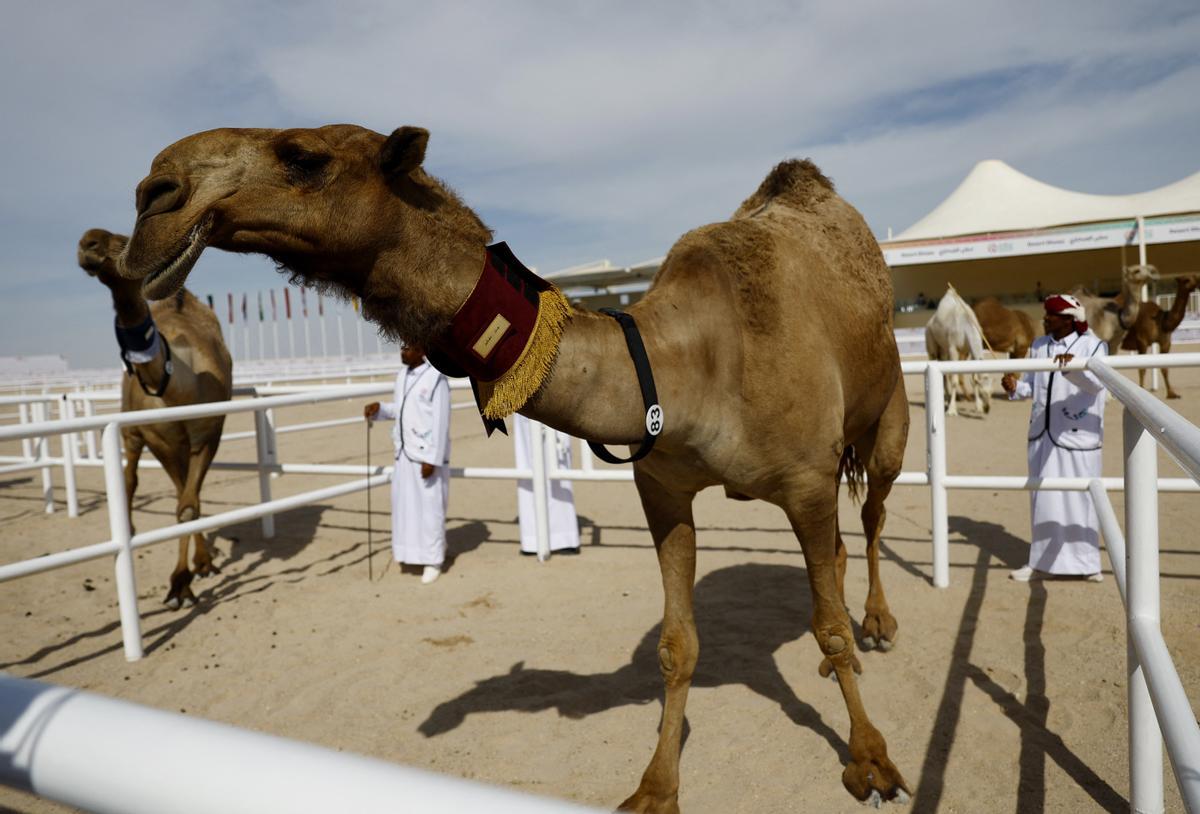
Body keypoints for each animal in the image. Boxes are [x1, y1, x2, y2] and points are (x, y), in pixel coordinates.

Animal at [78, 226, 234, 609]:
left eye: (123, 239)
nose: (88, 242)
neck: (176, 383)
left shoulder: (208, 434)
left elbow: (187, 506)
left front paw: (184, 580)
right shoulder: (158, 438)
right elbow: (180, 501)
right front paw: (181, 582)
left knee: (186, 493)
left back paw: (202, 560)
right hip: (136, 434)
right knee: (132, 477)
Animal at [119, 124, 907, 811]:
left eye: (303, 156)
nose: (155, 191)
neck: (686, 367)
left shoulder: (803, 482)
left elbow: (828, 625)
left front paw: (871, 761)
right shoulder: (663, 487)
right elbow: (676, 645)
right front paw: (655, 789)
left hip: (885, 414)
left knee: (871, 517)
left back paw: (877, 625)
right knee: (839, 549)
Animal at [921, 285, 988, 415]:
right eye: (983, 390)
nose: (987, 408)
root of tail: (929, 322)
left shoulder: (970, 352)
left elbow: (973, 378)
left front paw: (978, 407)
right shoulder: (953, 349)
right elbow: (954, 381)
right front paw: (952, 410)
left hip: (944, 351)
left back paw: (946, 401)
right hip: (931, 343)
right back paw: (946, 402)